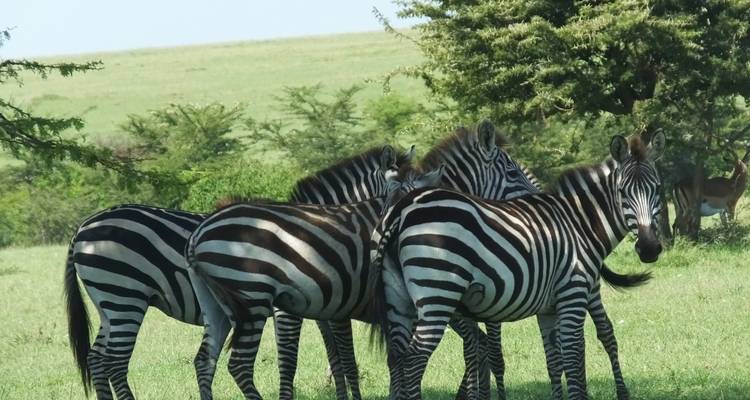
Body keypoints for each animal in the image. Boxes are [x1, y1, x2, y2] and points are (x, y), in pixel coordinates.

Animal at [63, 145, 410, 400]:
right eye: (406, 189)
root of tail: (83, 227)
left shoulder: (324, 304)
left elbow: (336, 358)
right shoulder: (289, 308)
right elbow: (295, 360)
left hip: (108, 303)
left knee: (97, 359)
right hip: (126, 296)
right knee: (114, 362)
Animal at [368, 133, 666, 400]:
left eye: (658, 189)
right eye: (622, 192)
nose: (649, 248)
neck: (577, 222)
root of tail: (402, 208)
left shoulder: (548, 308)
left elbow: (554, 361)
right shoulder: (573, 293)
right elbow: (572, 357)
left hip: (399, 301)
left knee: (397, 358)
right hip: (437, 294)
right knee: (415, 359)